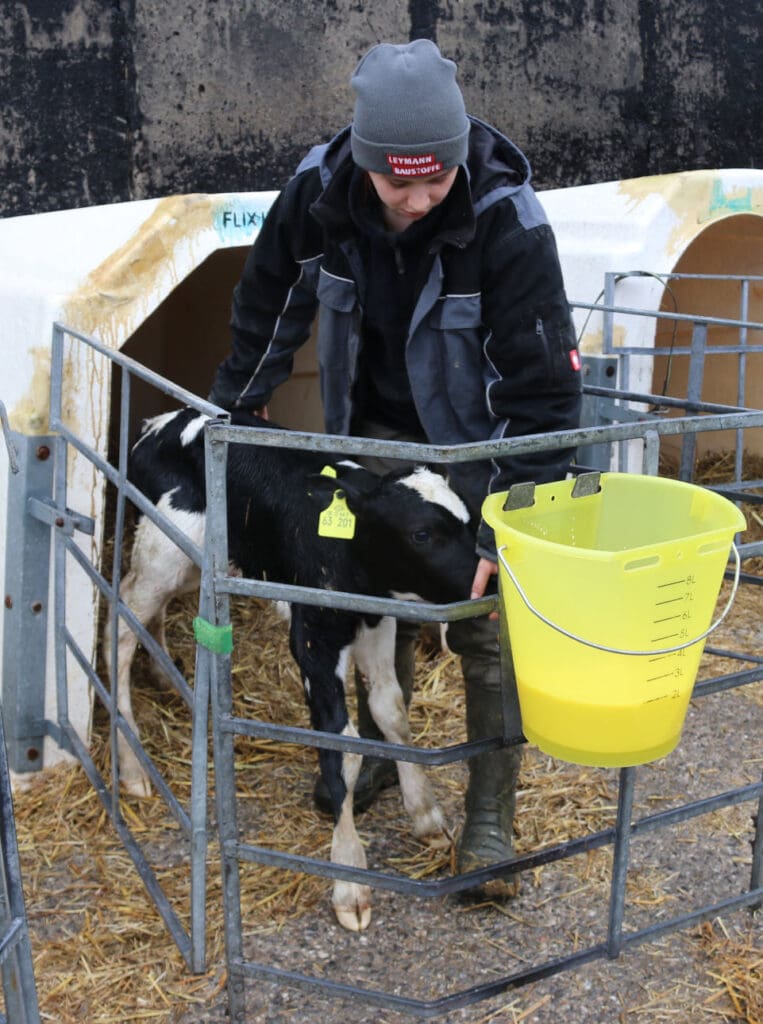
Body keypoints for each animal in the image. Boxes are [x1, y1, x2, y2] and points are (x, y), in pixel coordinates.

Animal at [107, 405, 475, 929]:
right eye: (422, 534)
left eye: (470, 520)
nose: (488, 578)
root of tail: (167, 418)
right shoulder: (313, 644)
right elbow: (341, 748)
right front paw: (350, 881)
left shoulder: (376, 622)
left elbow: (391, 712)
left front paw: (426, 815)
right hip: (163, 550)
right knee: (120, 622)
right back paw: (133, 765)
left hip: (196, 561)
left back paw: (163, 675)